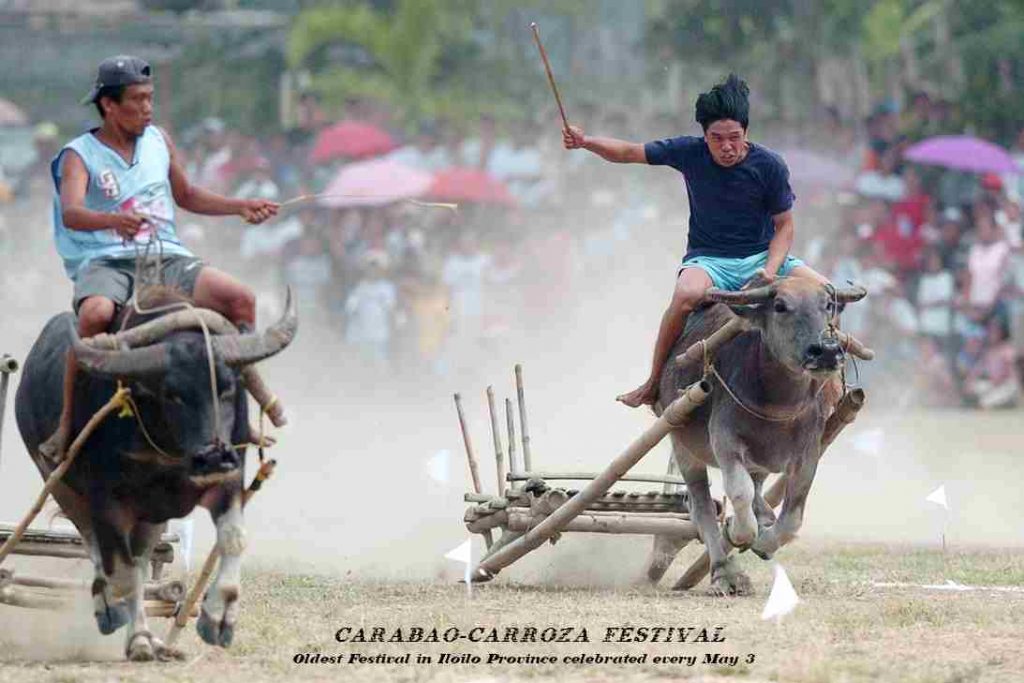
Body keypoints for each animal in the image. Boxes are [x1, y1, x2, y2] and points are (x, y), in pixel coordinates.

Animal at [14, 290, 296, 663]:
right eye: (173, 394)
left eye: (227, 389)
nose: (213, 456)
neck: (169, 447)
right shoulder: (106, 500)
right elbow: (122, 571)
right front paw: (139, 639)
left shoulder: (229, 478)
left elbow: (234, 538)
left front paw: (218, 618)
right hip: (60, 483)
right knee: (97, 549)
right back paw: (110, 609)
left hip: (151, 516)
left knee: (141, 557)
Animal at [655, 274, 864, 593]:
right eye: (780, 306)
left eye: (828, 304)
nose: (827, 351)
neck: (777, 400)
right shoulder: (725, 444)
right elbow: (739, 495)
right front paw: (738, 532)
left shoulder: (807, 454)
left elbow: (792, 519)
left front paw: (765, 540)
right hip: (683, 445)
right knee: (702, 507)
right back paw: (725, 572)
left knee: (755, 489)